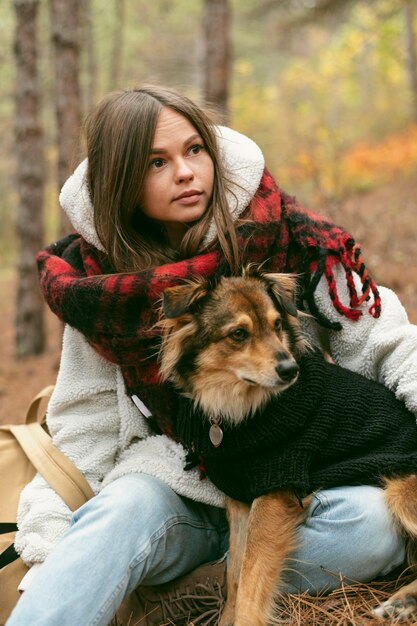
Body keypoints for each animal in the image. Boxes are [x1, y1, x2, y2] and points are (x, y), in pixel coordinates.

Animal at [159, 266, 417, 624]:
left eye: (277, 324)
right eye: (238, 334)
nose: (290, 369)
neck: (239, 408)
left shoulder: (274, 493)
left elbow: (252, 577)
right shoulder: (240, 498)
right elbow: (235, 573)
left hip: (402, 492)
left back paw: (401, 602)